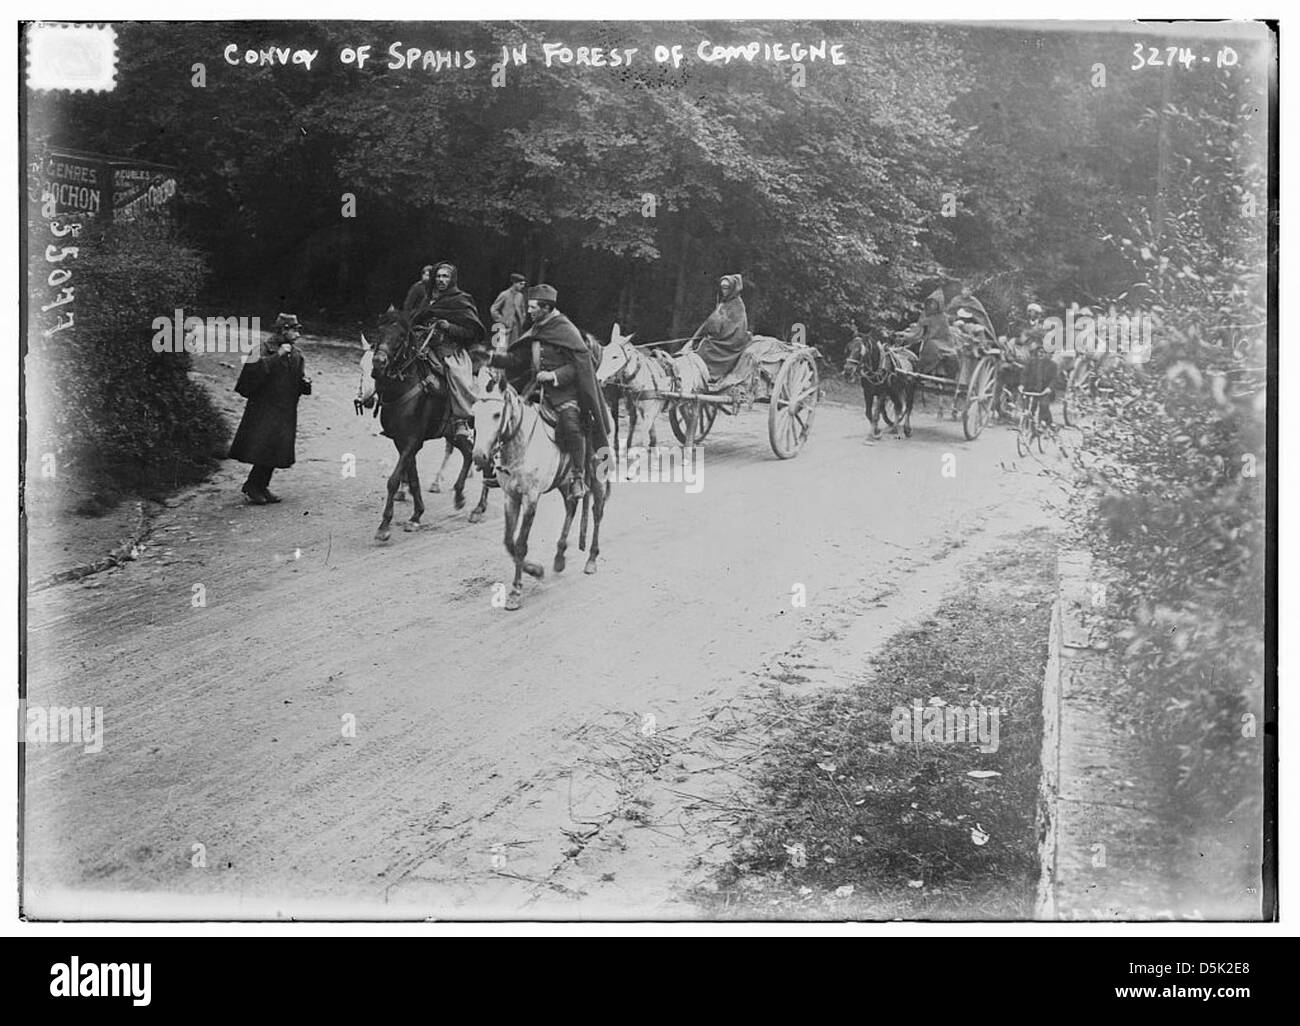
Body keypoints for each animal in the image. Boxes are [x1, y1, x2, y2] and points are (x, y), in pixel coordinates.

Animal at [366, 305, 488, 540]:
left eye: (401, 336)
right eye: (379, 330)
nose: (379, 362)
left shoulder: (413, 441)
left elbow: (394, 480)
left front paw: (384, 526)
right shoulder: (402, 442)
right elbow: (412, 479)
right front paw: (416, 516)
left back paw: (479, 509)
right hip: (454, 434)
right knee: (468, 454)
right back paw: (459, 496)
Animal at [470, 379, 605, 611]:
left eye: (497, 414)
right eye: (474, 414)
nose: (479, 456)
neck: (520, 445)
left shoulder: (530, 498)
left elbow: (520, 544)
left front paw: (516, 591)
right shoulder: (510, 497)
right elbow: (509, 542)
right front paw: (535, 570)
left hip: (596, 475)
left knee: (596, 510)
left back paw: (592, 558)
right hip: (563, 481)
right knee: (571, 506)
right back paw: (559, 556)